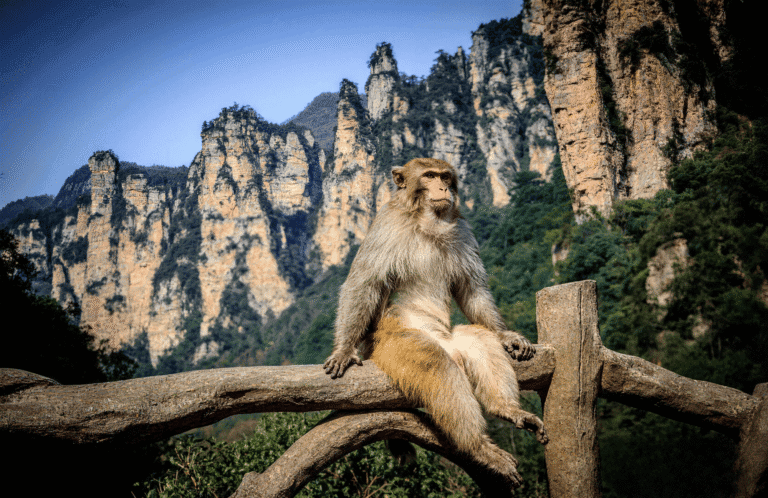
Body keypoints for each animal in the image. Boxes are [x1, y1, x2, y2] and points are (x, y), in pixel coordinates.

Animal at [323, 157, 547, 461]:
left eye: (444, 176)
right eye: (429, 176)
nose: (442, 187)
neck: (425, 220)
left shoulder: (462, 230)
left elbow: (471, 288)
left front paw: (507, 336)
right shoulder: (388, 225)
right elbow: (365, 283)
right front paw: (344, 350)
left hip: (451, 338)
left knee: (478, 340)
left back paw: (507, 409)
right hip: (391, 342)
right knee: (436, 363)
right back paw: (477, 445)